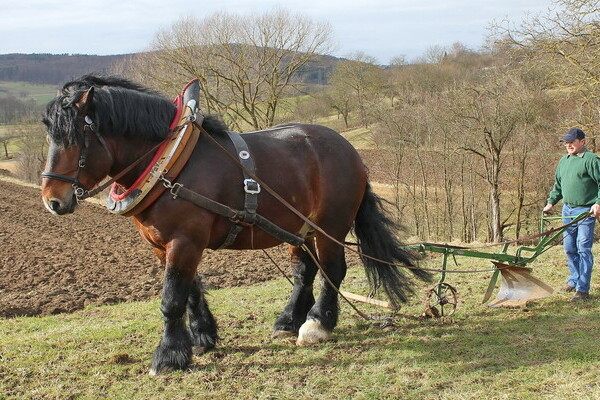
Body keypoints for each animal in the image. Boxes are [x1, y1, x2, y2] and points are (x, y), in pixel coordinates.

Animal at [39, 74, 428, 376]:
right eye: (51, 136)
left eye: (77, 137)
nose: (52, 200)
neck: (170, 161)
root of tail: (349, 150)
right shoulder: (163, 244)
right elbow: (190, 291)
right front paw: (201, 338)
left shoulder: (185, 240)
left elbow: (172, 298)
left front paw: (169, 356)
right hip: (298, 228)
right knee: (304, 272)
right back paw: (289, 320)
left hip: (329, 226)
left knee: (333, 269)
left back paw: (317, 323)